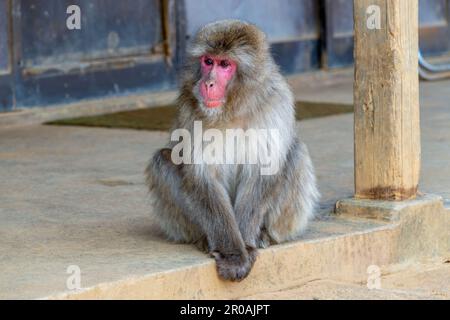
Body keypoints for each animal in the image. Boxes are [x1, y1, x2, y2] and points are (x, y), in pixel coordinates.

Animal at [146, 20, 318, 282]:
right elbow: (202, 176)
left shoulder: (276, 101)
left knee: (296, 153)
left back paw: (263, 235)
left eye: (225, 64)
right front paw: (232, 254)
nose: (208, 83)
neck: (233, 108)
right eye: (208, 61)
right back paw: (204, 238)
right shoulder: (189, 105)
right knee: (162, 161)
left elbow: (264, 169)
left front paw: (245, 245)